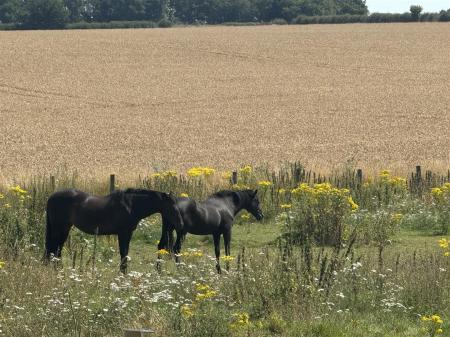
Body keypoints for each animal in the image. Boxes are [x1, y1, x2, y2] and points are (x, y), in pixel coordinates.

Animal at [46, 188, 184, 272]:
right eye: (172, 207)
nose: (181, 224)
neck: (130, 205)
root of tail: (52, 196)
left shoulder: (128, 234)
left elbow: (125, 254)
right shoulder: (123, 233)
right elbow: (123, 254)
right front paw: (123, 275)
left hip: (65, 229)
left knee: (57, 249)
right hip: (58, 229)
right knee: (53, 248)